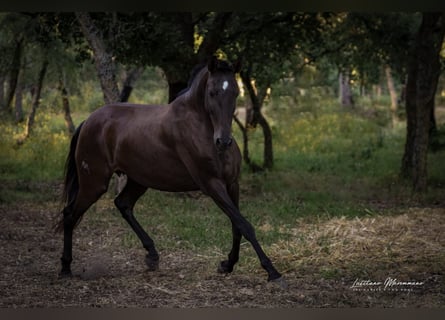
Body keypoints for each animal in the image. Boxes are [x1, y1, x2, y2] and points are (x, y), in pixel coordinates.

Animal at [55, 57, 282, 282]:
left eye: (235, 92)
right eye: (212, 92)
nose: (223, 141)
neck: (200, 127)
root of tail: (88, 121)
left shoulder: (232, 184)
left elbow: (237, 226)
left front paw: (227, 264)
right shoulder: (212, 184)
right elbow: (244, 225)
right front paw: (272, 271)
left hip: (139, 180)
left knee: (123, 204)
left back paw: (152, 256)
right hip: (94, 183)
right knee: (69, 214)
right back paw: (65, 267)